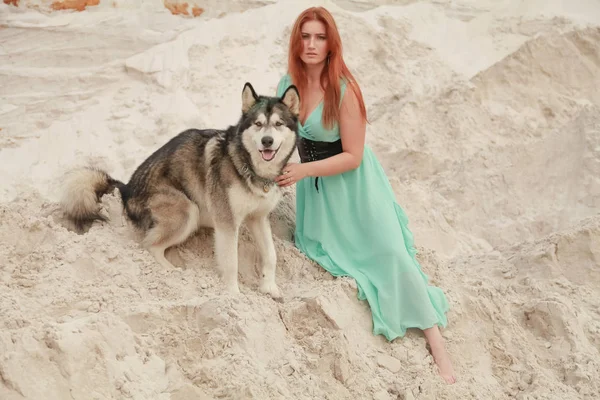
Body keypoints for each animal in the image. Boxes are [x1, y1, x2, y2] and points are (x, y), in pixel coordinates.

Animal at [59, 82, 300, 296]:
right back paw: (170, 272)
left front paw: (270, 288)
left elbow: (271, 254)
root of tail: (126, 189)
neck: (250, 167)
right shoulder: (226, 221)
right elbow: (231, 261)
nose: (267, 141)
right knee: (149, 245)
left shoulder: (258, 218)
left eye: (278, 124)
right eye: (258, 124)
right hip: (187, 210)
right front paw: (233, 294)